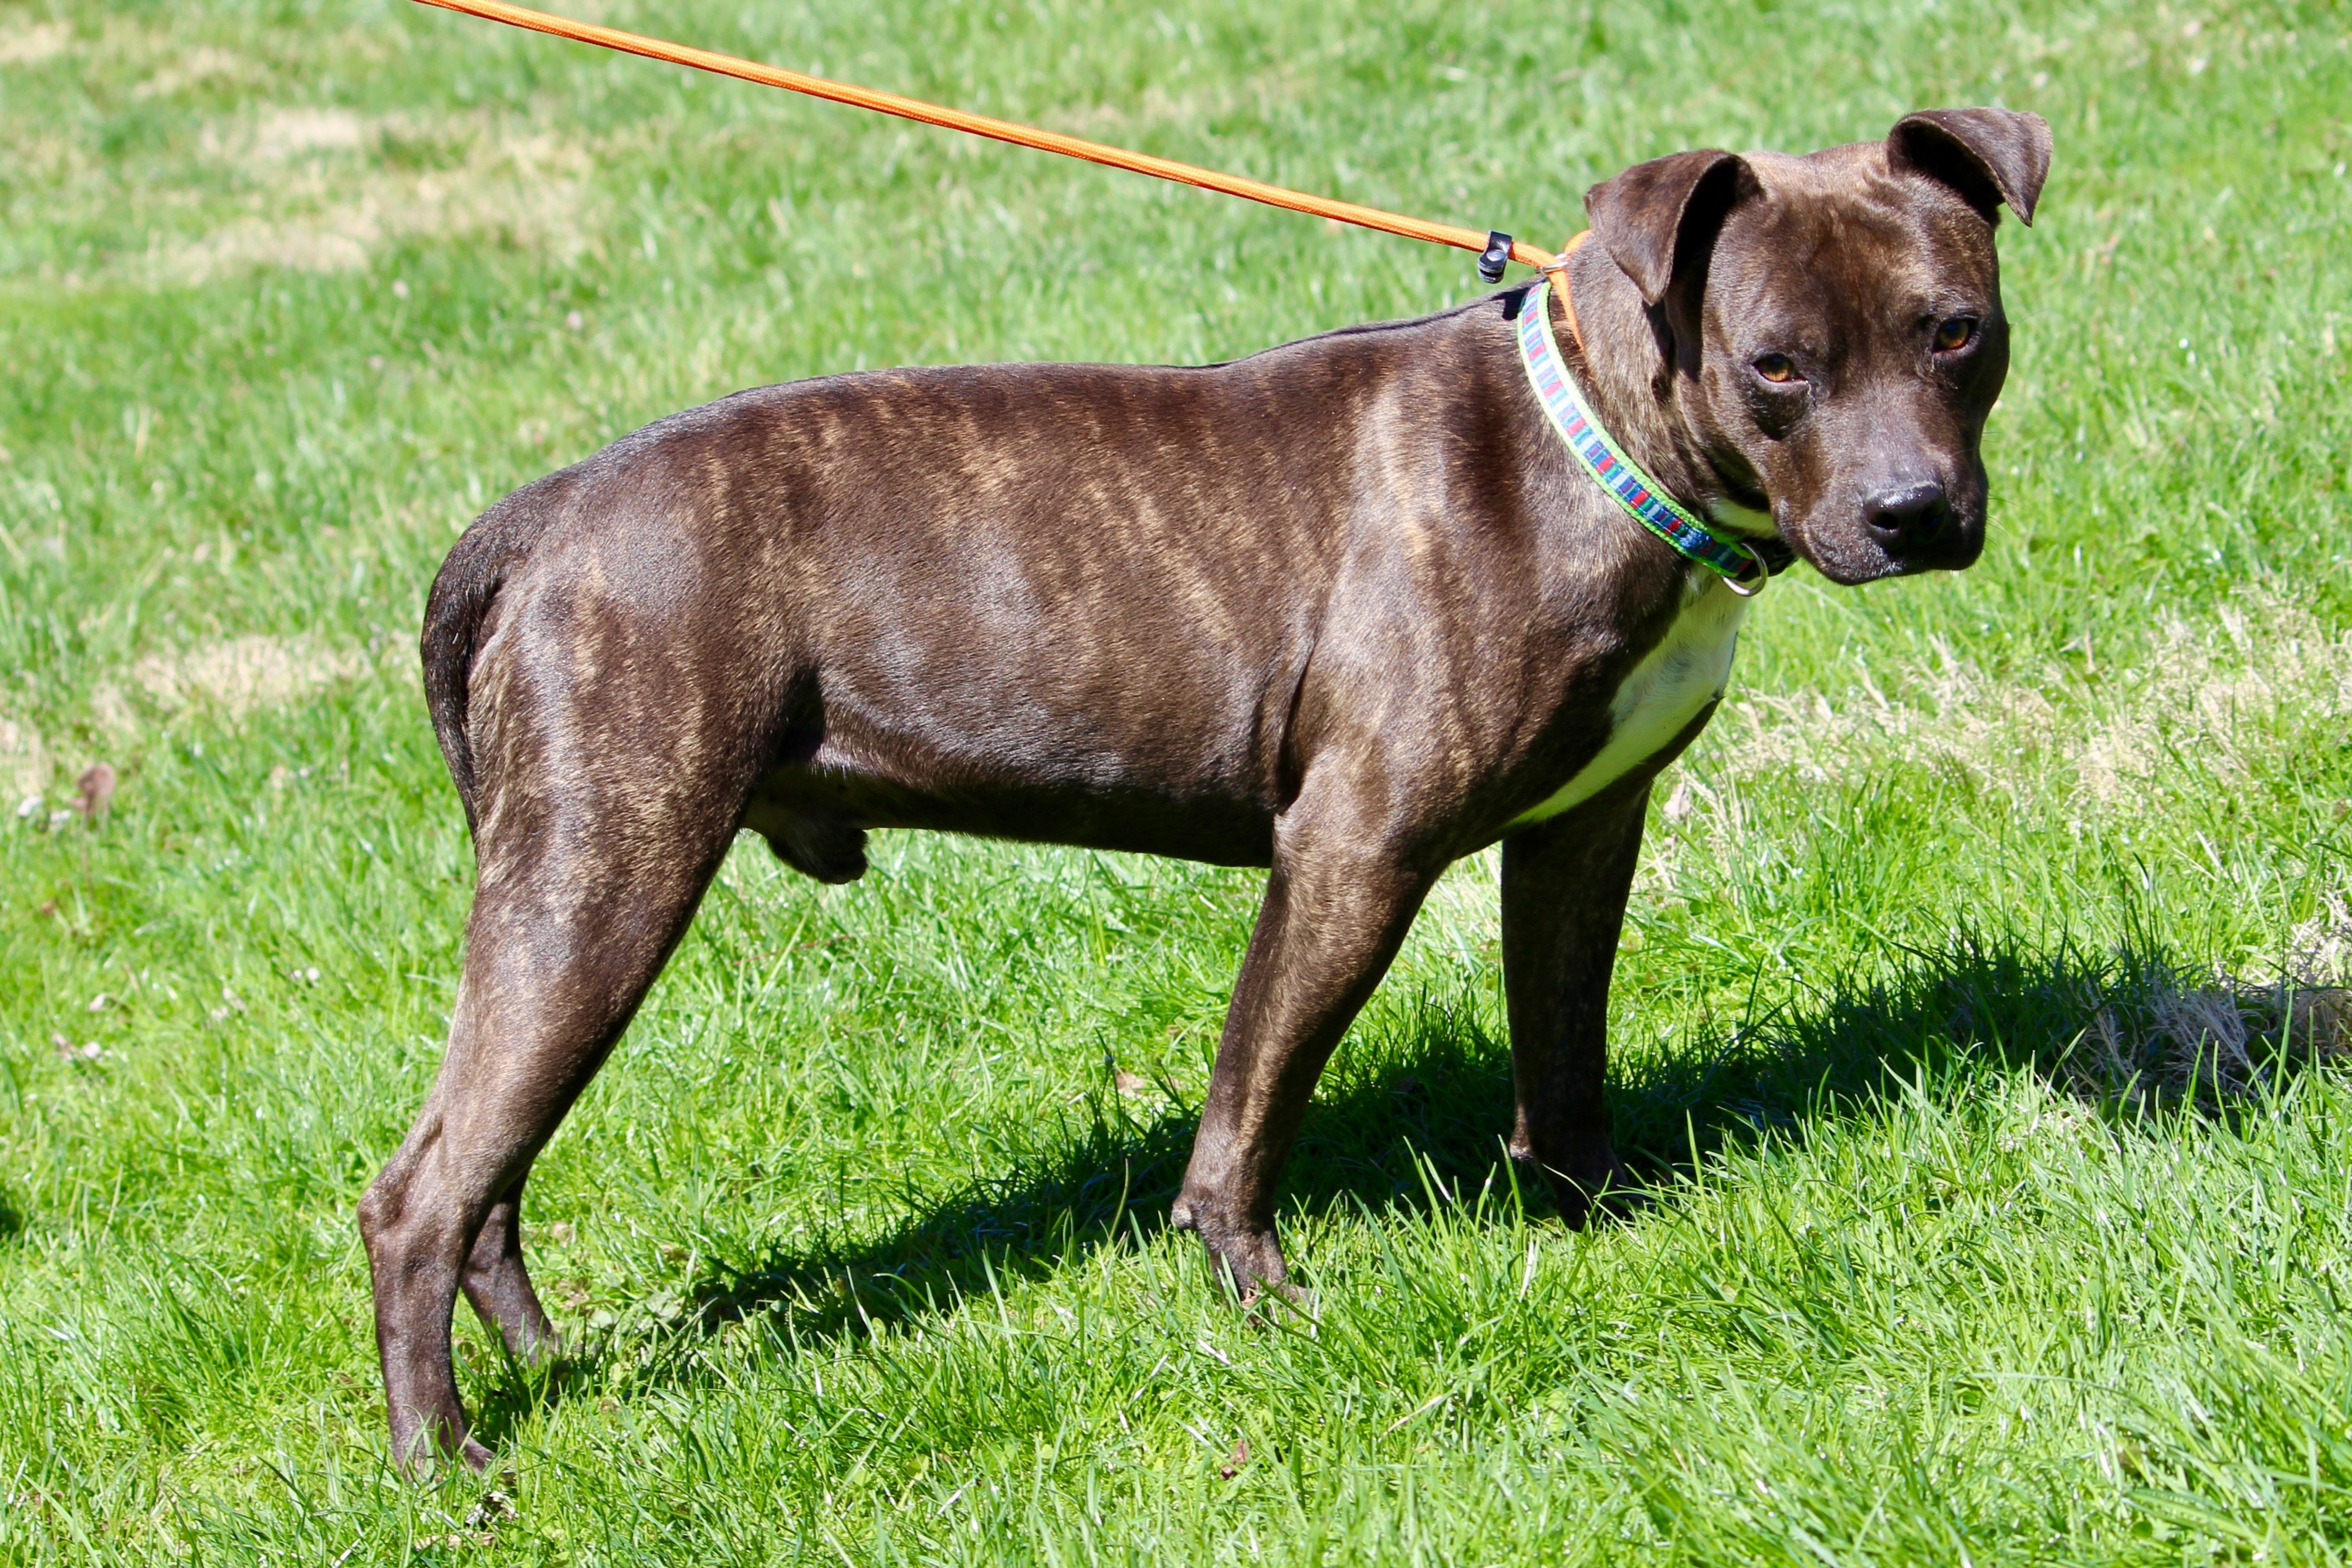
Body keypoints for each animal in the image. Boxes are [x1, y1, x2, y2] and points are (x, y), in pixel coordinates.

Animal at [357, 110, 2050, 1476]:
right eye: (1777, 366)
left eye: (1958, 331)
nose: (1912, 511)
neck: (1599, 448)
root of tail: (546, 511)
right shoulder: (1353, 852)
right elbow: (1254, 1099)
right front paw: (1261, 1296)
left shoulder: (1582, 832)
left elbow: (1562, 1043)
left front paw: (1594, 1219)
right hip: (604, 879)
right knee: (422, 1194)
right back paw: (445, 1461)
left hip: (574, 897)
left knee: (487, 1171)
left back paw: (550, 1367)